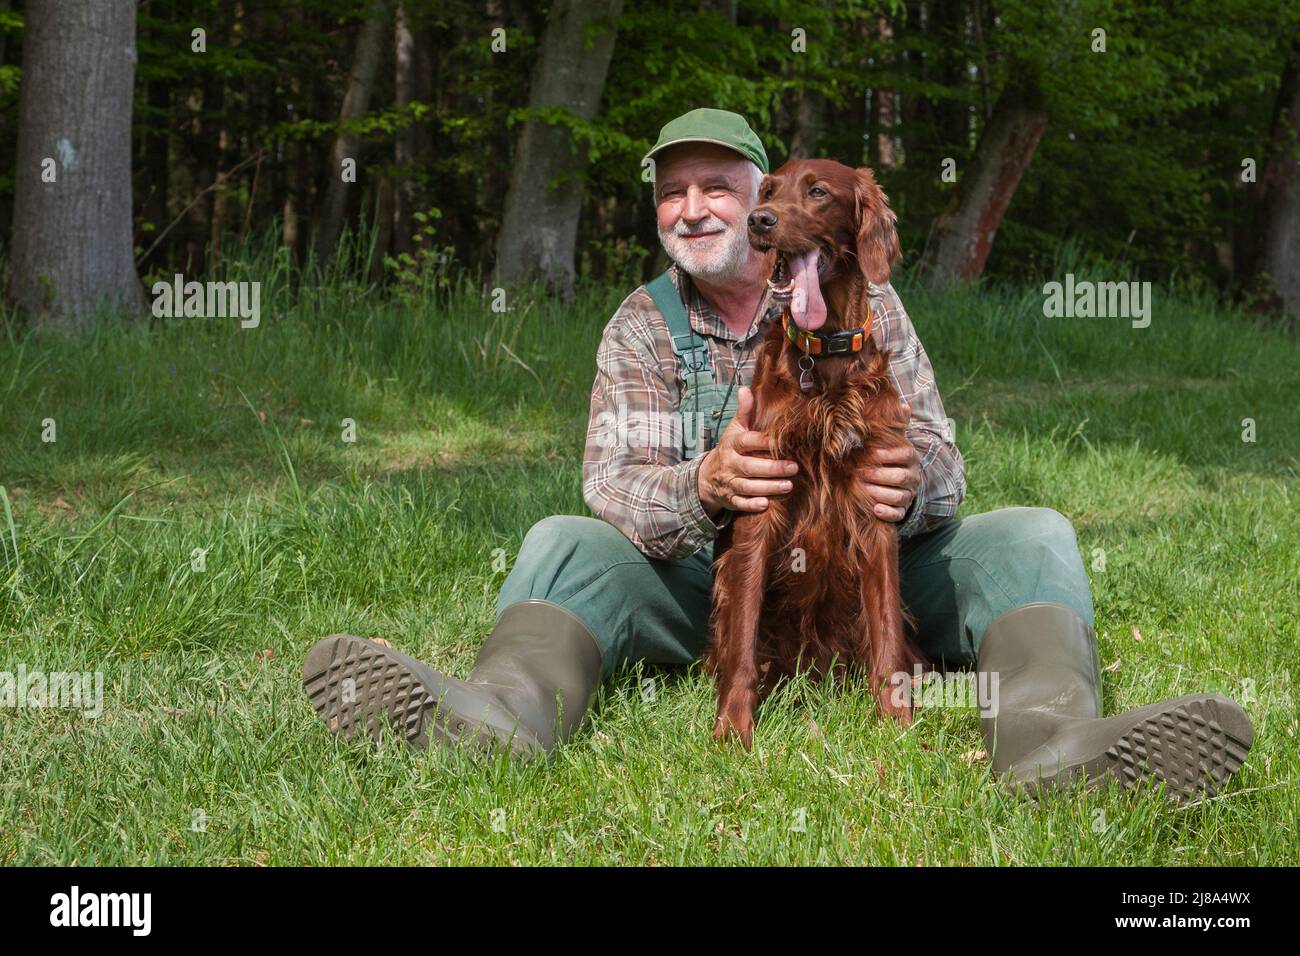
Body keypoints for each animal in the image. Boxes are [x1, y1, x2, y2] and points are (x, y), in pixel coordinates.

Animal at [702, 157, 925, 749]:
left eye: (818, 192)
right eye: (768, 191)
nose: (760, 221)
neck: (823, 358)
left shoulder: (875, 503)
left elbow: (887, 635)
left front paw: (896, 722)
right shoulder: (762, 491)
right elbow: (742, 642)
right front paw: (734, 728)